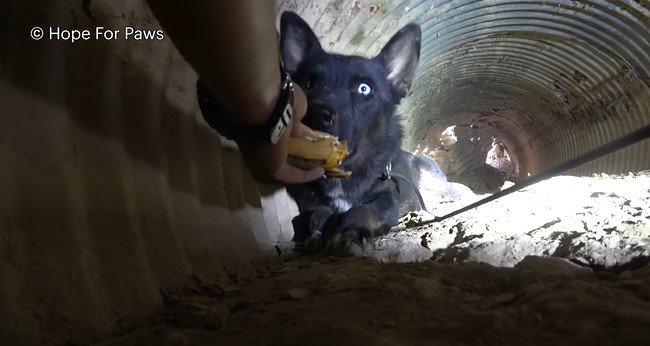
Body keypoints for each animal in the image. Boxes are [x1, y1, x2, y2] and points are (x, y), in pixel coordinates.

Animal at [278, 10, 446, 249]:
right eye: (308, 83)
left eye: (364, 89)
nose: (315, 113)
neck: (340, 175)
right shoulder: (307, 202)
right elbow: (312, 214)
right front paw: (318, 228)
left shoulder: (388, 195)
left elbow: (365, 210)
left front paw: (348, 229)